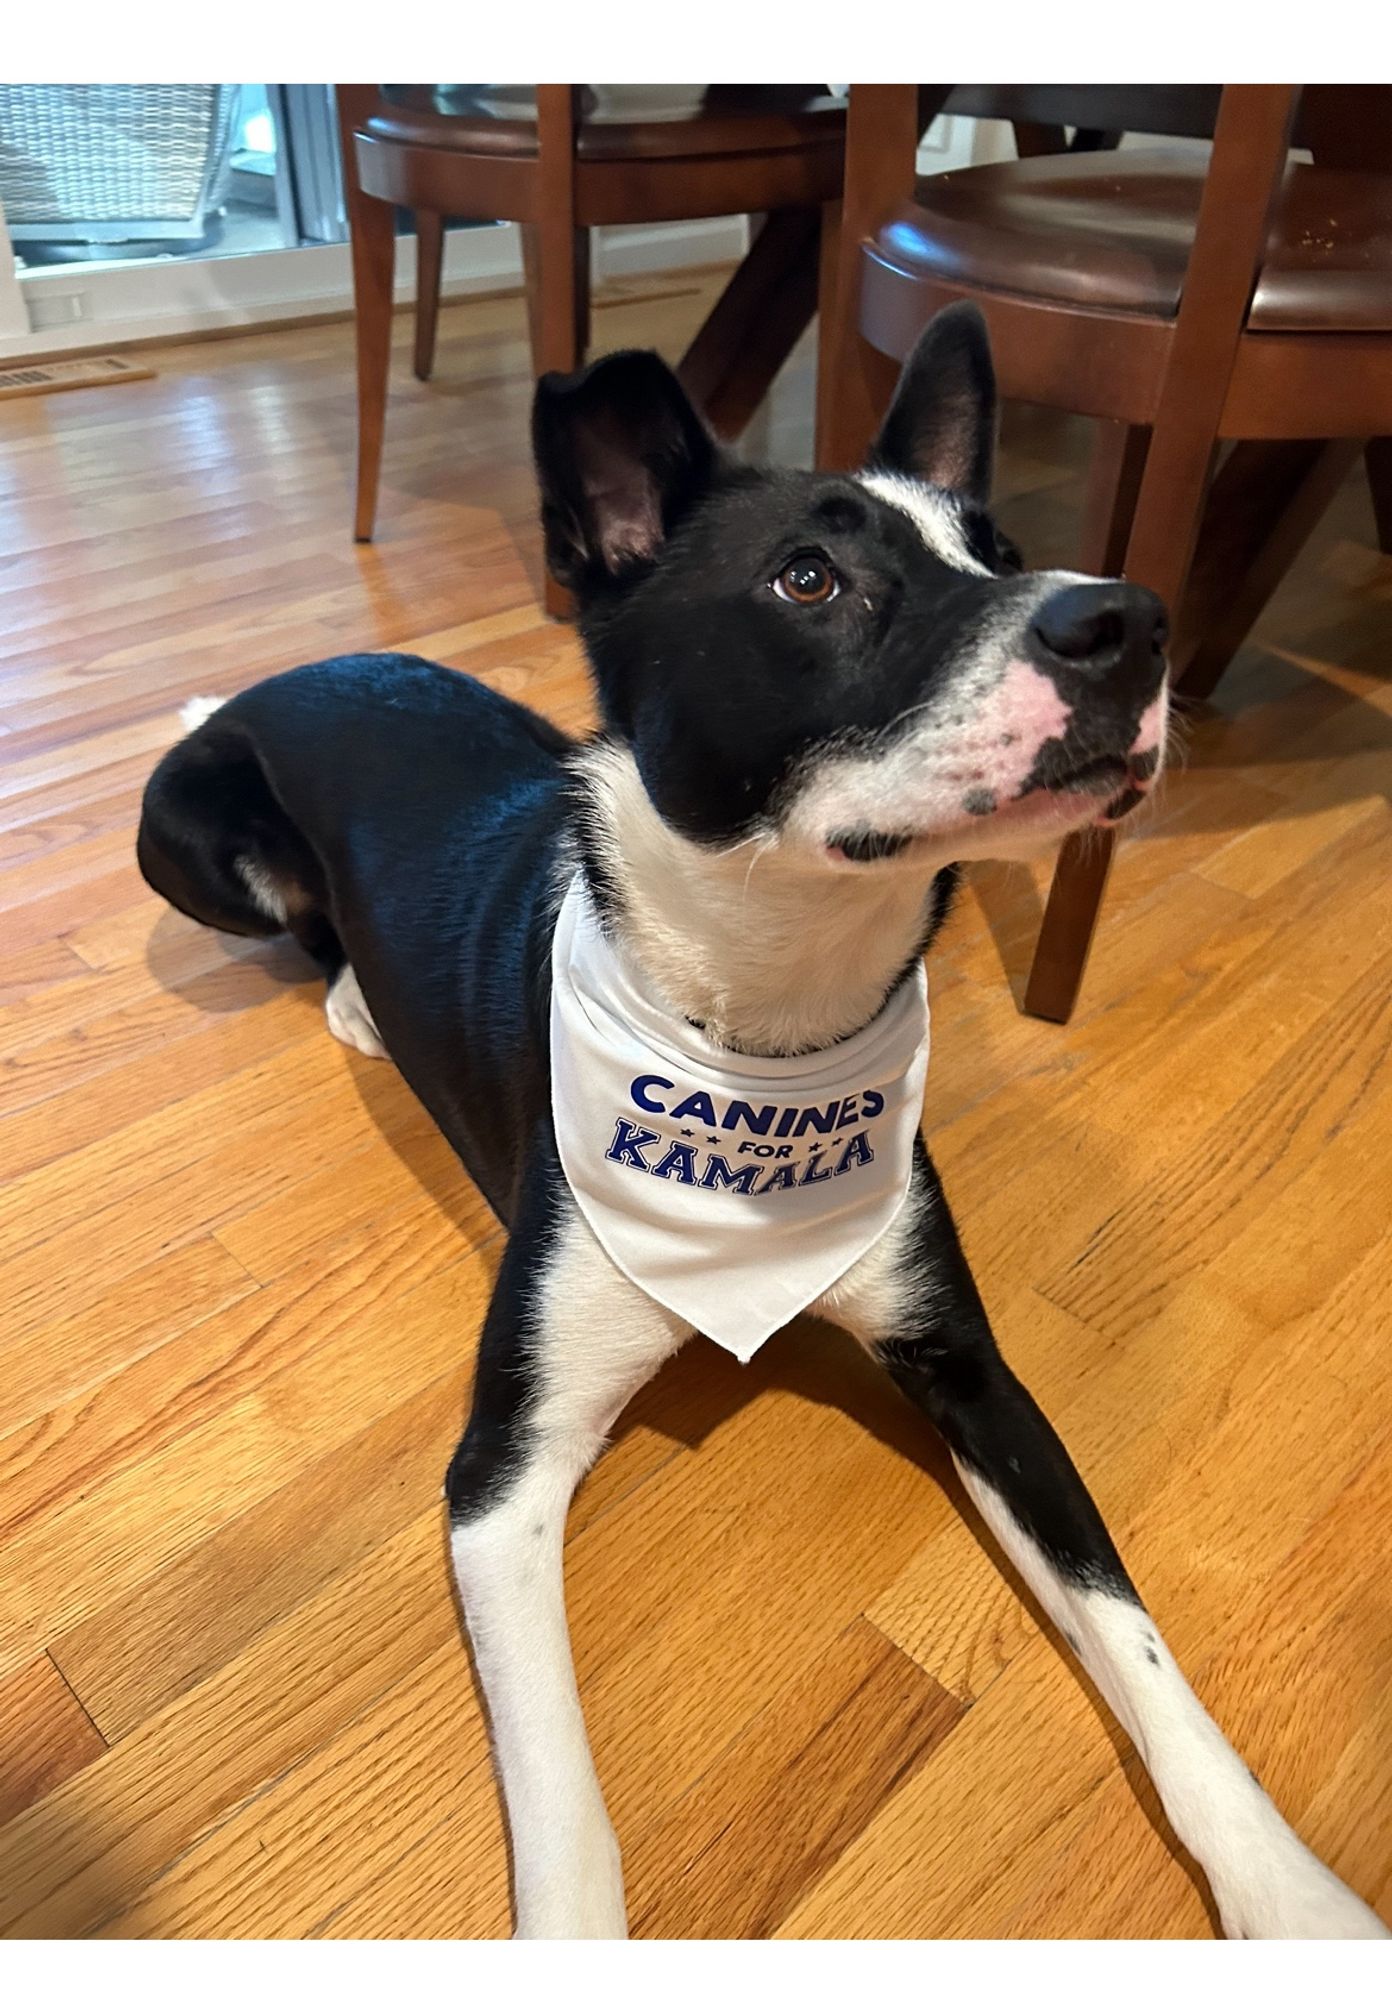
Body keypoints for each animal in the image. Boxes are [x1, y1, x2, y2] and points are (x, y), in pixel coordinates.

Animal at [136, 308, 1384, 1936]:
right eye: (809, 578)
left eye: (1001, 546)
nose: (1132, 620)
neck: (759, 1023)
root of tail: (285, 674)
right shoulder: (503, 1476)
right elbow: (563, 1800)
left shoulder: (974, 1371)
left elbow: (1138, 1632)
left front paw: (1289, 1896)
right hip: (192, 842)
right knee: (298, 920)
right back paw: (350, 997)